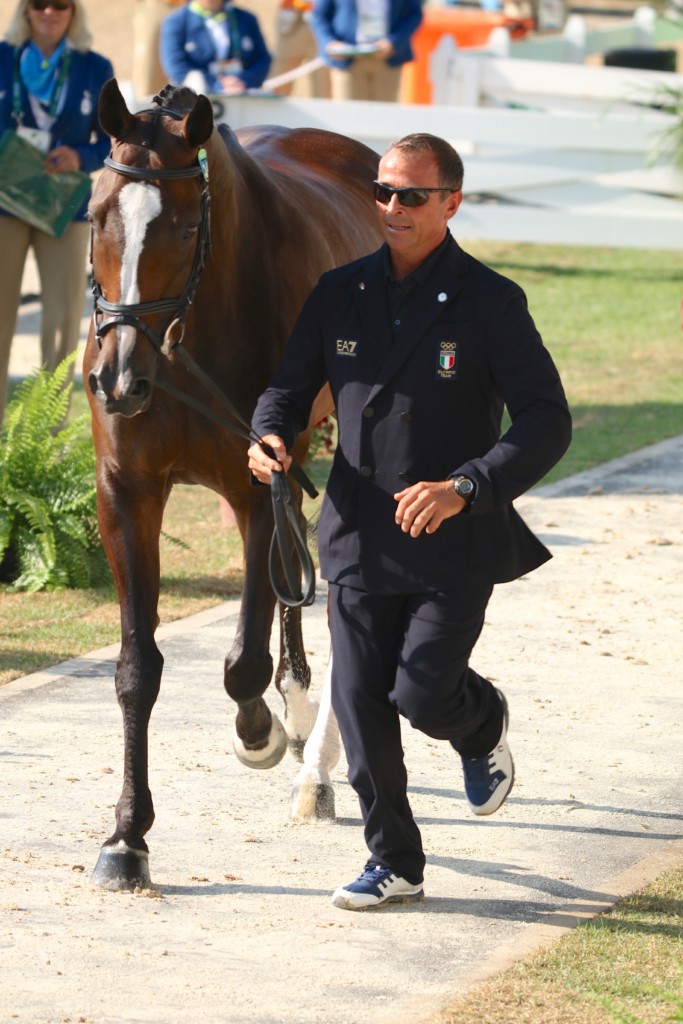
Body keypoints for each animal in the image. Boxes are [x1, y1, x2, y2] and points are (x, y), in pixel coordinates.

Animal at [84, 79, 382, 888]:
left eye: (187, 227)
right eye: (96, 215)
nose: (116, 379)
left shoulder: (255, 487)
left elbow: (242, 661)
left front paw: (259, 732)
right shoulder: (127, 493)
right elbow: (137, 669)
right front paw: (127, 836)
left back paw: (303, 734)